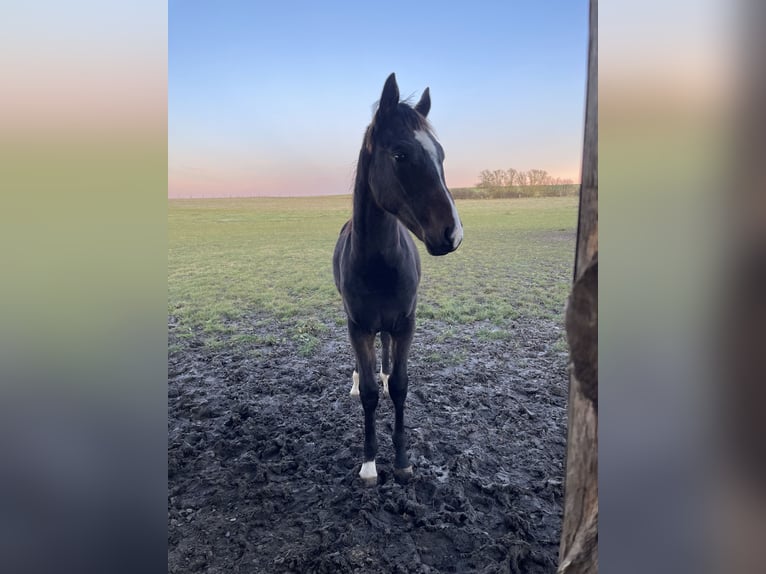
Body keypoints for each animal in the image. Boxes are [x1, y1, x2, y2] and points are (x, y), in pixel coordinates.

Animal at [334, 72, 464, 486]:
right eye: (400, 154)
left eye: (441, 155)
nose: (453, 234)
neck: (378, 265)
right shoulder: (358, 326)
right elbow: (370, 394)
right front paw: (370, 463)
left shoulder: (406, 323)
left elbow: (401, 387)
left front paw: (403, 460)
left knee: (388, 355)